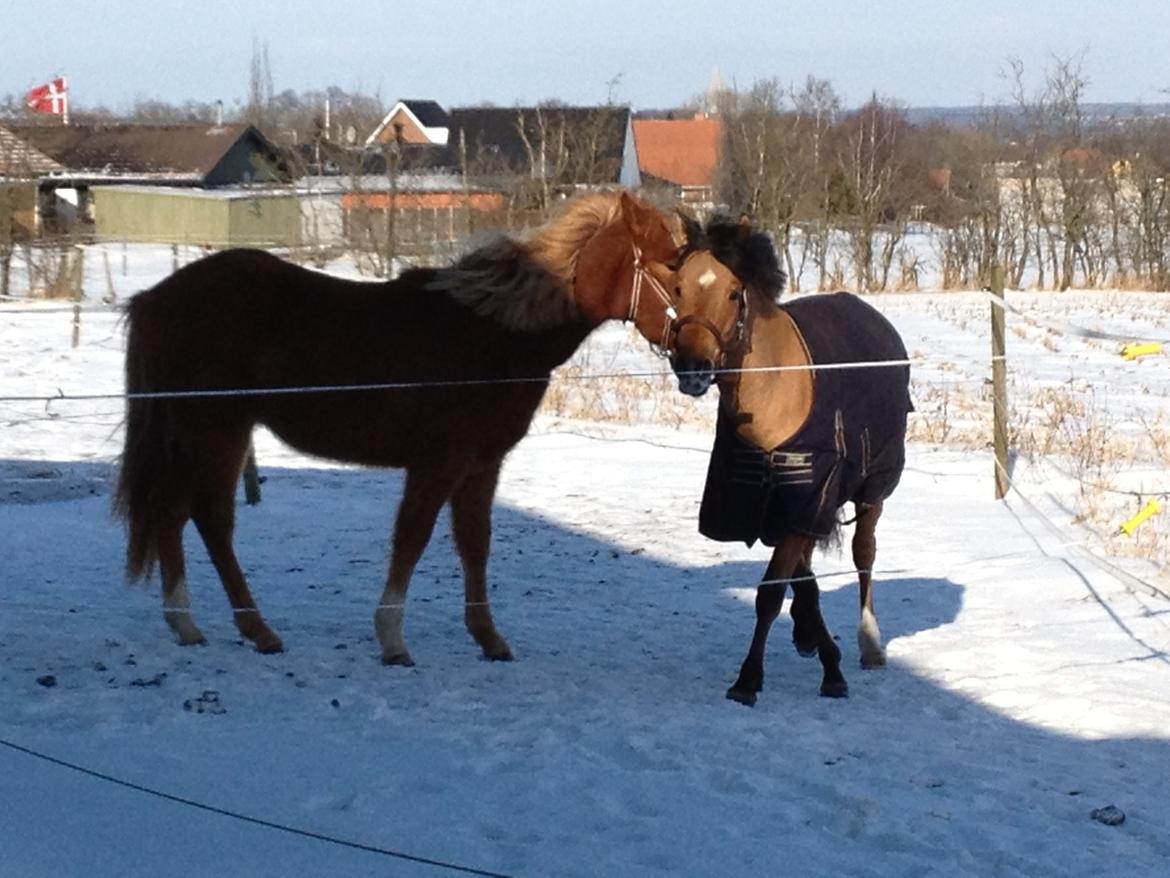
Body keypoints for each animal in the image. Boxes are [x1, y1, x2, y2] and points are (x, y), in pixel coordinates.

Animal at [114, 187, 683, 664]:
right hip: (217, 431)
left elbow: (474, 542)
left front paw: (488, 638)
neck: (496, 334)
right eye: (673, 264)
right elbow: (412, 537)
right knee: (210, 519)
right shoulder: (437, 464)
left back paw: (186, 624)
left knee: (171, 511)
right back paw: (257, 631)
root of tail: (155, 298)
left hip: (194, 436)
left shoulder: (483, 465)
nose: (699, 349)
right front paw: (391, 640)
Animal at [664, 220, 907, 707]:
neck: (776, 393)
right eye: (678, 288)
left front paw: (748, 679)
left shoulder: (805, 501)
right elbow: (802, 583)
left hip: (873, 489)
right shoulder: (775, 506)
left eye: (734, 293)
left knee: (864, 552)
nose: (693, 369)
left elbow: (771, 592)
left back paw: (869, 643)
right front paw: (823, 655)